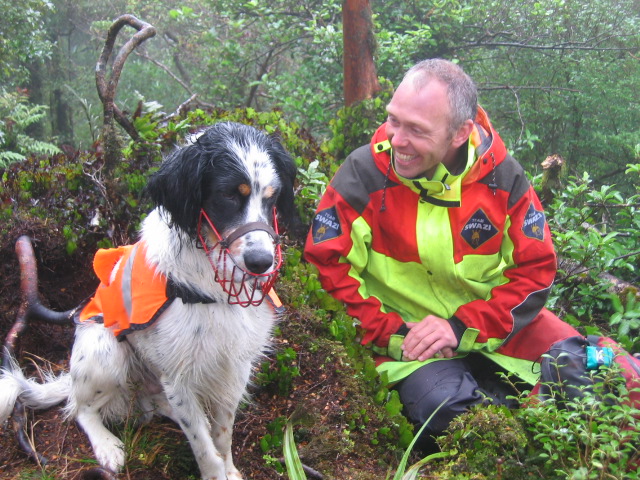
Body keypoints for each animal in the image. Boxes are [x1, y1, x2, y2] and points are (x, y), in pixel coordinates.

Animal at [0, 123, 298, 480]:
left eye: (272, 197)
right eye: (228, 195)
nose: (261, 262)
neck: (212, 286)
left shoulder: (235, 364)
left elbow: (221, 437)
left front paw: (230, 470)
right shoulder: (179, 374)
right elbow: (204, 448)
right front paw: (215, 472)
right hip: (104, 350)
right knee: (80, 408)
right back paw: (107, 446)